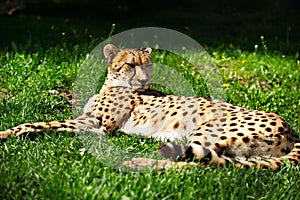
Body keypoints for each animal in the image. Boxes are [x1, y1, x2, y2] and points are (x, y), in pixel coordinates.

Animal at [0, 44, 300, 170]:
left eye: (148, 65)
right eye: (131, 64)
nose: (144, 79)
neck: (113, 84)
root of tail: (290, 128)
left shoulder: (101, 124)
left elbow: (49, 124)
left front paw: (6, 133)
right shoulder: (91, 120)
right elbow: (45, 123)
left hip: (207, 130)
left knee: (197, 166)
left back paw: (133, 162)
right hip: (242, 152)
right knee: (222, 164)